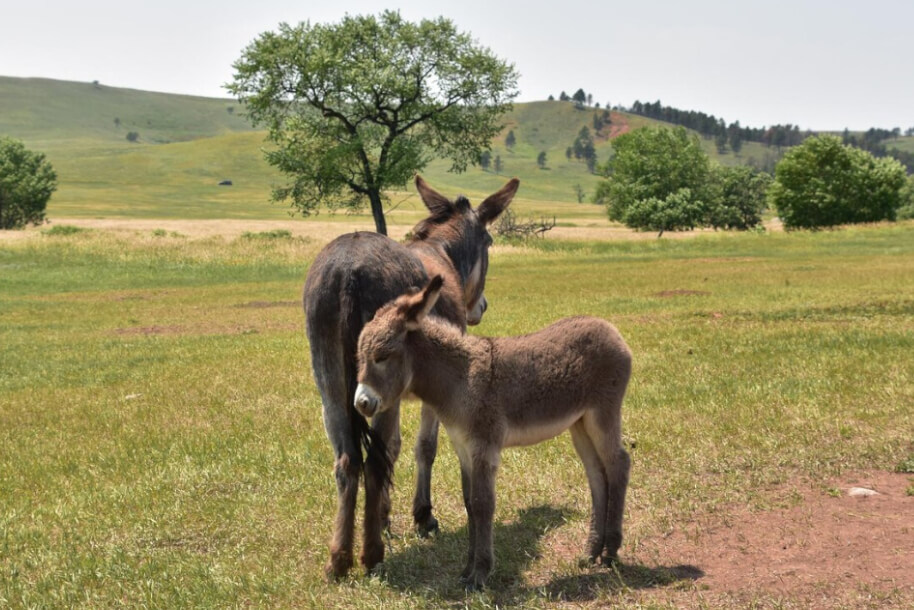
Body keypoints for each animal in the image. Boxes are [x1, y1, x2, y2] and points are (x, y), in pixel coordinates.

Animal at [352, 276, 632, 588]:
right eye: (360, 356)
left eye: (382, 357)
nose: (361, 403)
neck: (460, 378)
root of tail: (609, 328)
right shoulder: (463, 448)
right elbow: (469, 504)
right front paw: (467, 570)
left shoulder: (484, 447)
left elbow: (483, 504)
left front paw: (480, 574)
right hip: (580, 423)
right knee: (597, 474)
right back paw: (591, 551)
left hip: (602, 413)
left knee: (618, 464)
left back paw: (610, 552)